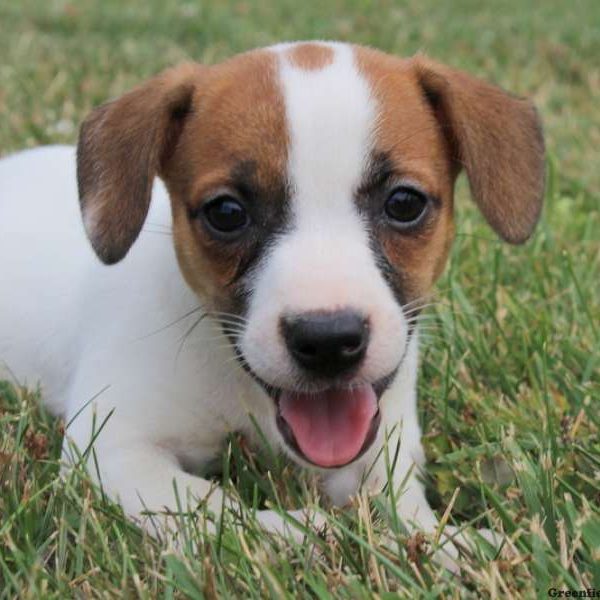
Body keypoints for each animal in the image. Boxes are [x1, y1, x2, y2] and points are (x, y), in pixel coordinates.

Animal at [0, 42, 544, 568]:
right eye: (226, 212)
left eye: (404, 203)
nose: (328, 341)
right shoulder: (111, 449)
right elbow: (209, 505)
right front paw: (305, 532)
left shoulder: (384, 445)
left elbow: (401, 506)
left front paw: (446, 544)